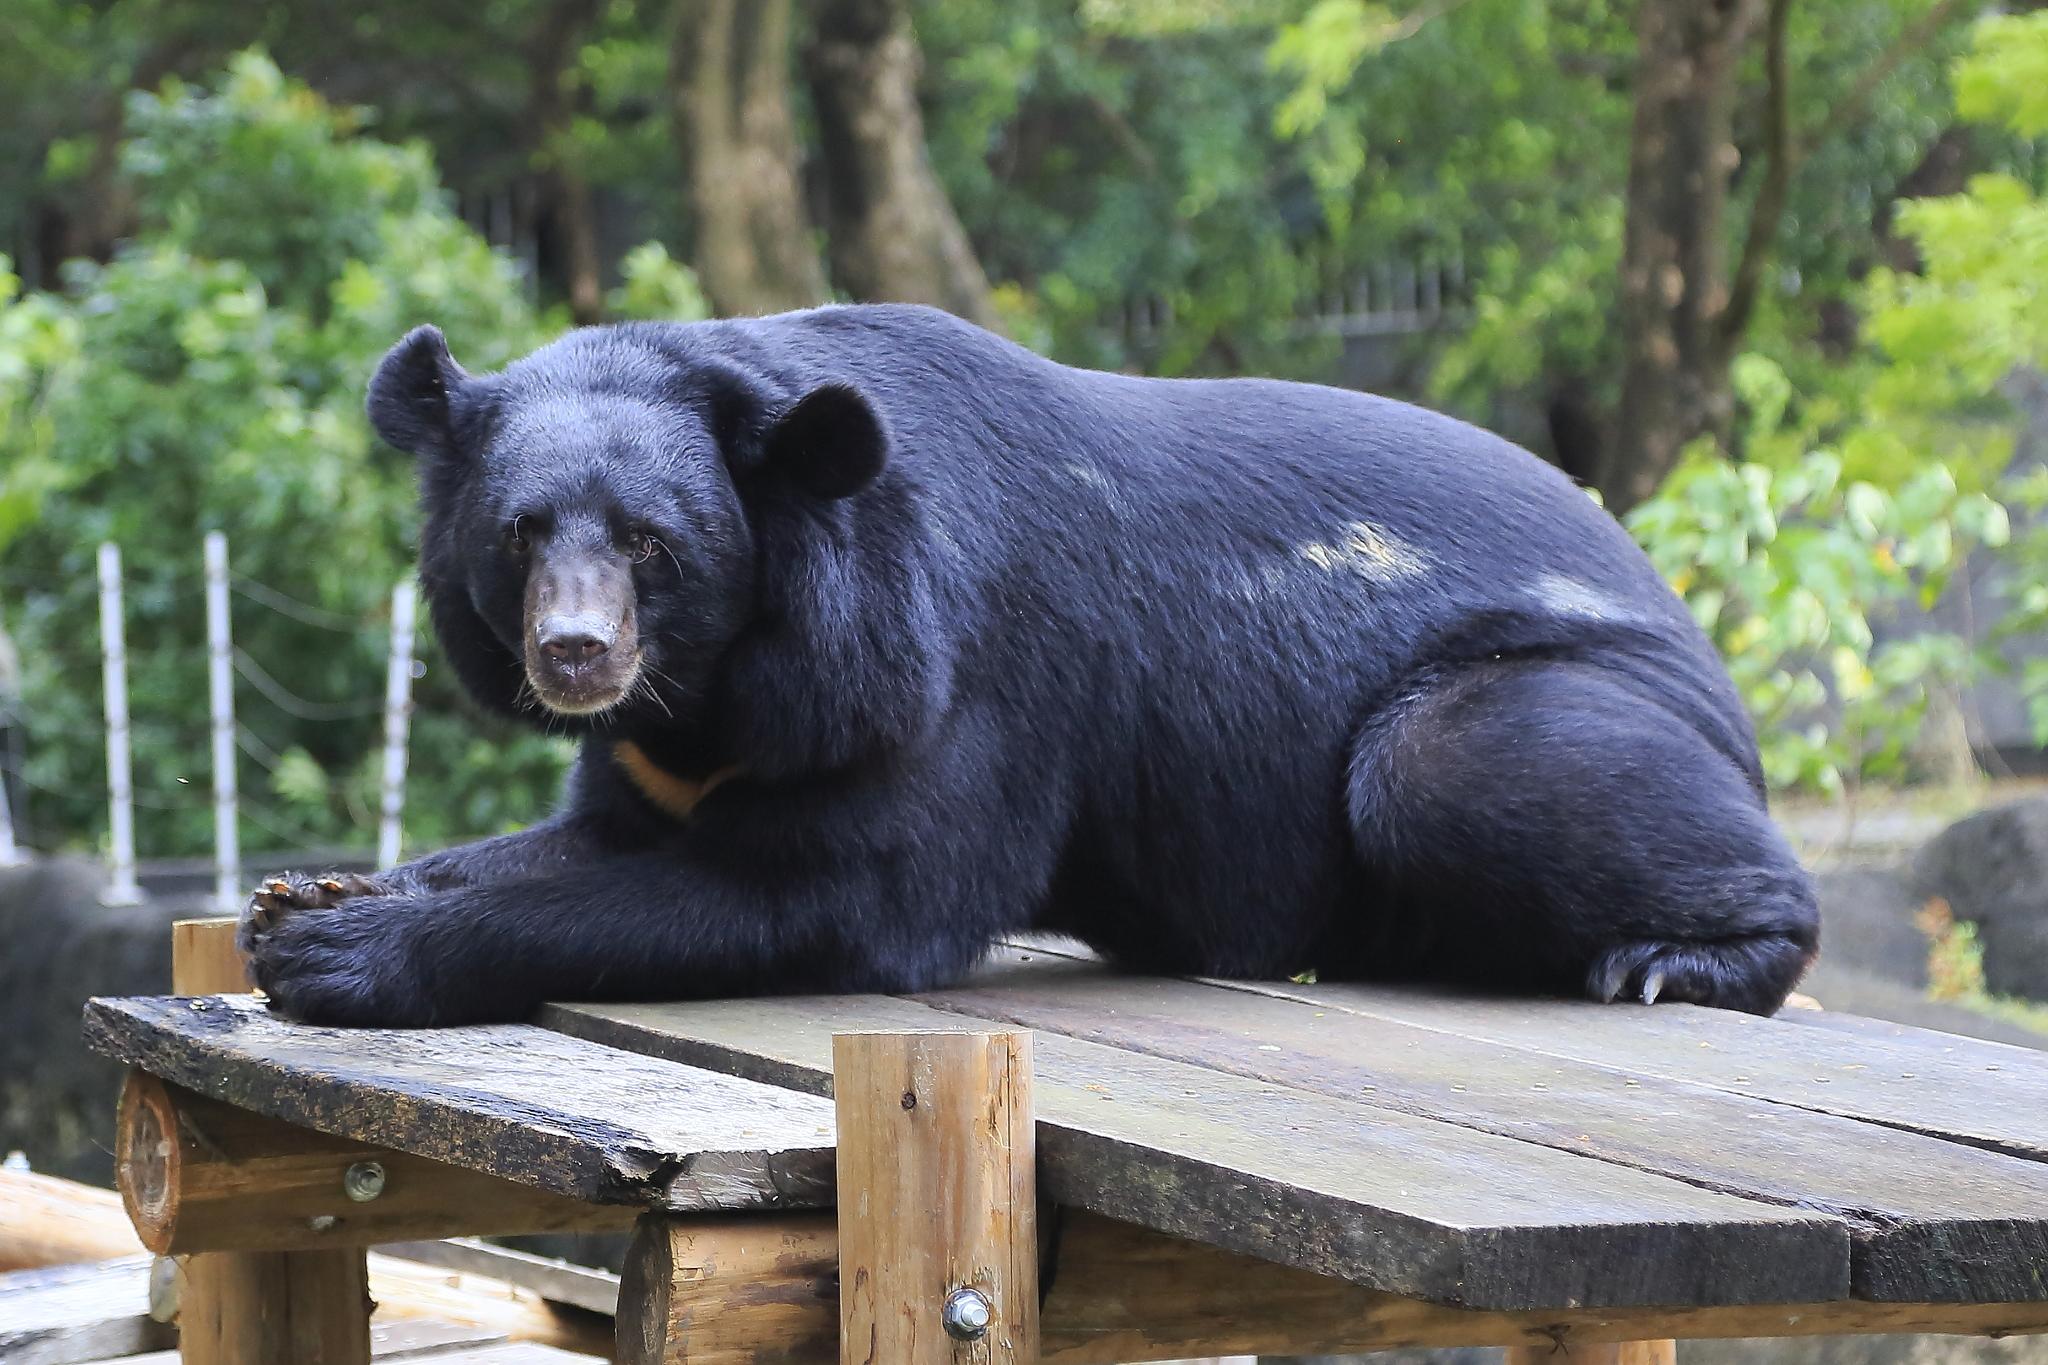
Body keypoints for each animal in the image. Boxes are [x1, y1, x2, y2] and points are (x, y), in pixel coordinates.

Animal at [239, 303, 1818, 1027]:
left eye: (651, 545)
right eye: (520, 537)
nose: (576, 656)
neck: (721, 684)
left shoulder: (946, 681)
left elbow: (829, 892)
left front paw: (338, 955)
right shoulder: (660, 745)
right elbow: (587, 841)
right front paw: (313, 893)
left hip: (1535, 700)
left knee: (1452, 767)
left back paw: (1675, 959)